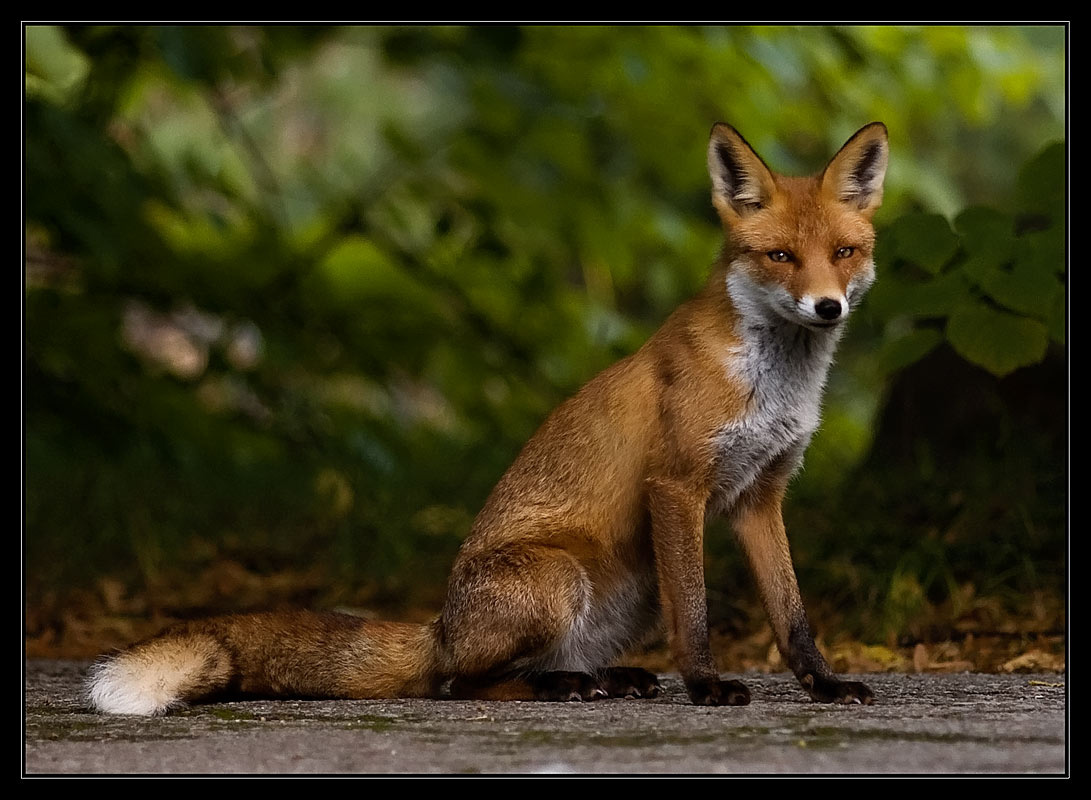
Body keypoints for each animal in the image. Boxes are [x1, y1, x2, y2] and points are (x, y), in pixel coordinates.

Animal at [86, 121, 888, 715]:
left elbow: (792, 614)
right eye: (779, 256)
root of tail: (438, 627)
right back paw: (563, 686)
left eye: (844, 252)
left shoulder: (760, 495)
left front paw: (823, 684)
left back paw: (602, 677)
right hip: (559, 576)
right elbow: (695, 615)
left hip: (632, 593)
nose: (827, 307)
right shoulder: (677, 486)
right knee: (456, 684)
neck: (773, 383)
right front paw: (705, 687)